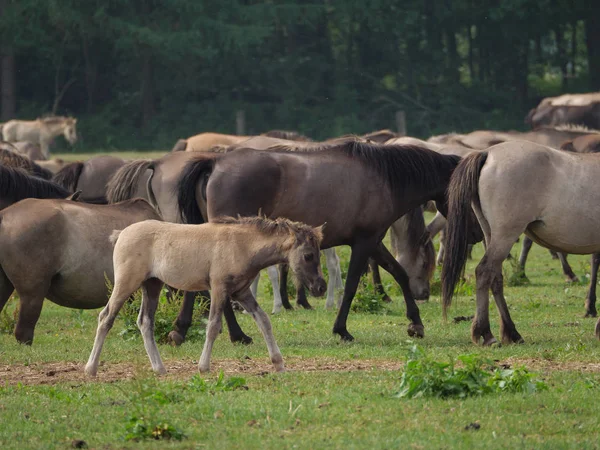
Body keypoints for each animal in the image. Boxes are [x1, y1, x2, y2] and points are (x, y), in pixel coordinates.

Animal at [85, 216, 326, 374]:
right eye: (308, 255)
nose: (321, 288)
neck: (242, 245)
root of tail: (121, 234)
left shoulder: (241, 292)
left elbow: (264, 320)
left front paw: (278, 363)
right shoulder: (219, 288)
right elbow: (213, 325)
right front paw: (203, 366)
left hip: (152, 285)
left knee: (145, 322)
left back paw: (159, 368)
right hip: (126, 283)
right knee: (106, 317)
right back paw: (91, 368)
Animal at [176, 141, 462, 342]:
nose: (425, 294)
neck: (384, 178)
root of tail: (215, 163)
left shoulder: (374, 242)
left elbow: (399, 272)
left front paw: (415, 323)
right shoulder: (364, 243)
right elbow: (351, 285)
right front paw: (341, 329)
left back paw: (183, 329)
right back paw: (237, 335)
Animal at [440, 141, 600, 344]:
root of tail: (487, 153)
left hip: (491, 235)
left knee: (496, 277)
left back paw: (511, 332)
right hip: (505, 235)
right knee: (484, 272)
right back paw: (486, 333)